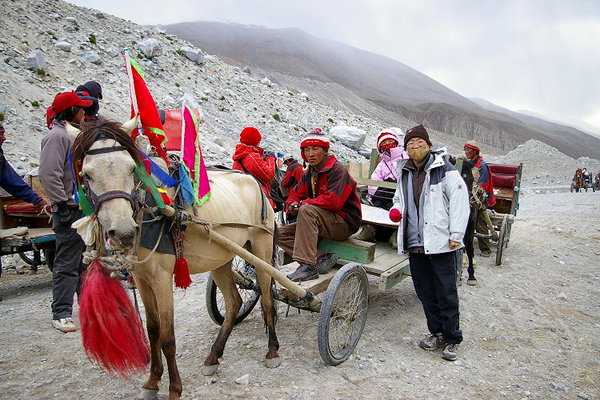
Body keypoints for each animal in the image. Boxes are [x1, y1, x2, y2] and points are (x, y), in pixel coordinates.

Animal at [69, 120, 278, 398]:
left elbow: (167, 337)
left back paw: (272, 350)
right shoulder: (141, 278)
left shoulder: (161, 277)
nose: (124, 232)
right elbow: (153, 329)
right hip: (222, 257)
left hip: (261, 248)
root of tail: (255, 182)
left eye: (132, 168)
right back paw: (213, 356)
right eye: (87, 174)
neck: (152, 208)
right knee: (234, 302)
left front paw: (174, 388)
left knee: (266, 298)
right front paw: (152, 381)